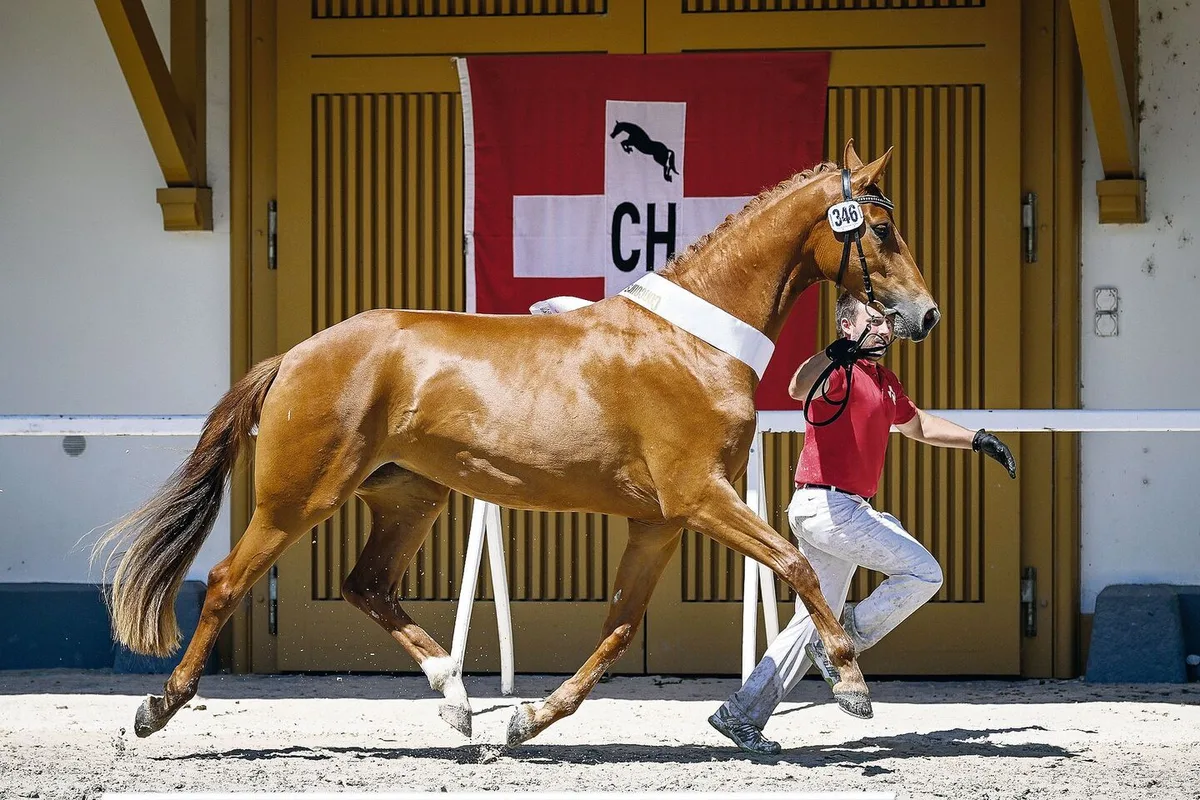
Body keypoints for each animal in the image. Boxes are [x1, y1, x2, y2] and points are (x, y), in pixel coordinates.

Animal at [95, 140, 939, 748]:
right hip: (299, 496)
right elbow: (797, 563)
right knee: (229, 581)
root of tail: (295, 356)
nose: (925, 314)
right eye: (882, 230)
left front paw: (525, 721)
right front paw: (850, 683)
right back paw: (158, 708)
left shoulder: (661, 520)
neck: (694, 344)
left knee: (367, 587)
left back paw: (457, 698)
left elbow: (619, 629)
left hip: (410, 495)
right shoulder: (700, 496)